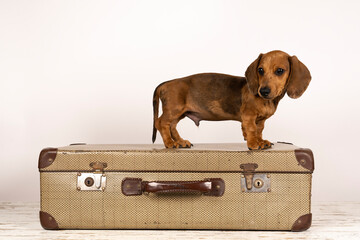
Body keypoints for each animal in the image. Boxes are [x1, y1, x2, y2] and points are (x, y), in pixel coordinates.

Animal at [150, 50, 310, 149]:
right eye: (260, 70)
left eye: (280, 71)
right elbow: (251, 129)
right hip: (173, 109)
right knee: (161, 123)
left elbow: (259, 130)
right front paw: (253, 144)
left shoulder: (260, 120)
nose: (263, 91)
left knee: (172, 126)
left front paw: (260, 141)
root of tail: (166, 83)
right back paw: (170, 143)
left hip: (179, 113)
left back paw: (180, 142)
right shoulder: (248, 116)